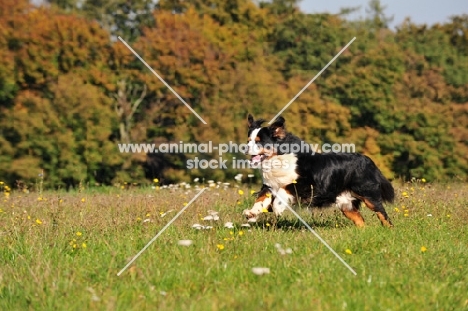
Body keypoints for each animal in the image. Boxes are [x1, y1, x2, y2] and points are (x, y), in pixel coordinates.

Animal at [245, 113, 394, 228]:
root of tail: (368, 160)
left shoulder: (306, 184)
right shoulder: (270, 185)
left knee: (382, 213)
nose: (245, 148)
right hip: (346, 203)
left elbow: (284, 190)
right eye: (248, 141)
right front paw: (251, 213)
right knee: (360, 220)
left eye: (259, 142)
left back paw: (388, 229)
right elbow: (261, 198)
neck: (277, 159)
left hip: (367, 194)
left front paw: (277, 208)